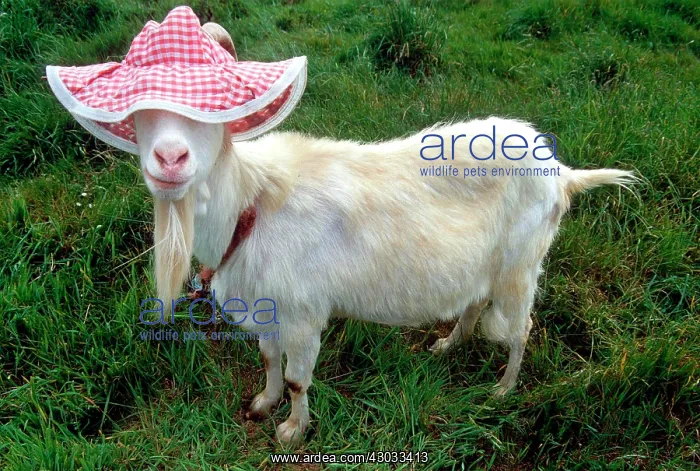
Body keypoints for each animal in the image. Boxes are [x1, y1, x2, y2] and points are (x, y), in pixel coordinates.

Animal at [133, 104, 634, 444]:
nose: (169, 162)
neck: (251, 200)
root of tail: (563, 174)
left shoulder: (301, 312)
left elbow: (296, 378)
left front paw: (293, 429)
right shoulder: (268, 305)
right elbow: (269, 360)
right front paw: (263, 404)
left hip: (520, 262)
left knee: (522, 327)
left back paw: (503, 389)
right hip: (484, 262)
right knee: (474, 300)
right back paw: (449, 345)